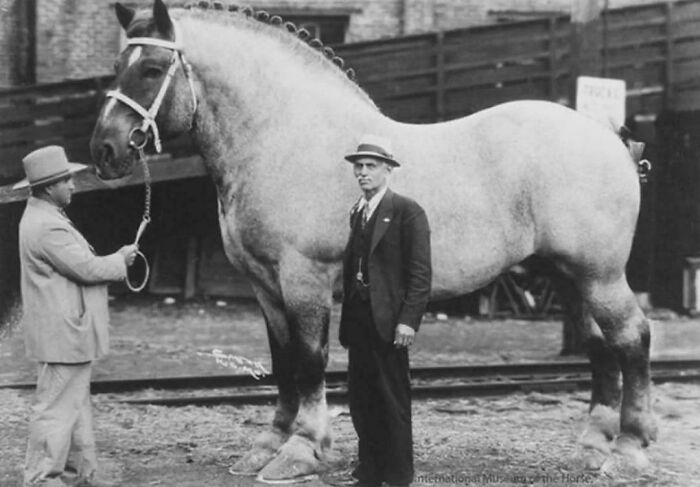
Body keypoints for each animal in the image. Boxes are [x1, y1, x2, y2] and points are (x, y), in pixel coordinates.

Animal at [89, 0, 657, 482]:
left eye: (152, 69)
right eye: (118, 64)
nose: (105, 150)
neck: (286, 138)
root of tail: (610, 137)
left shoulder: (304, 278)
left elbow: (309, 360)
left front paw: (302, 450)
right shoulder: (265, 286)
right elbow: (282, 361)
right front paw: (268, 445)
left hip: (599, 275)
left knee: (632, 338)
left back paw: (629, 449)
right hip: (569, 276)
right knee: (599, 345)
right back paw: (592, 445)